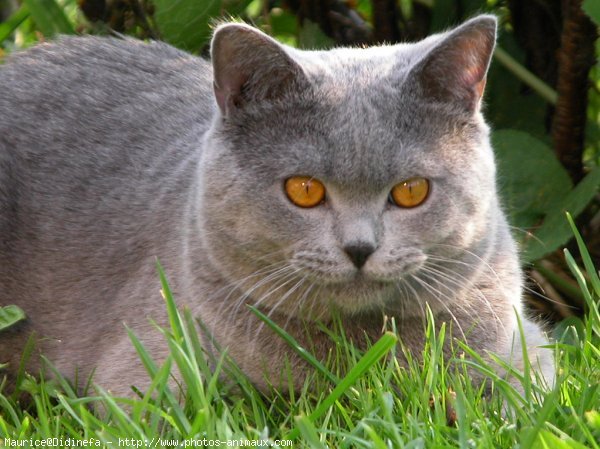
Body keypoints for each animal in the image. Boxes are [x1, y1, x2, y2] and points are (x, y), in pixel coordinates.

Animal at [0, 14, 552, 396]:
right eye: (304, 190)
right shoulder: (146, 374)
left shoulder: (525, 347)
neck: (357, 354)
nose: (359, 247)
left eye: (411, 191)